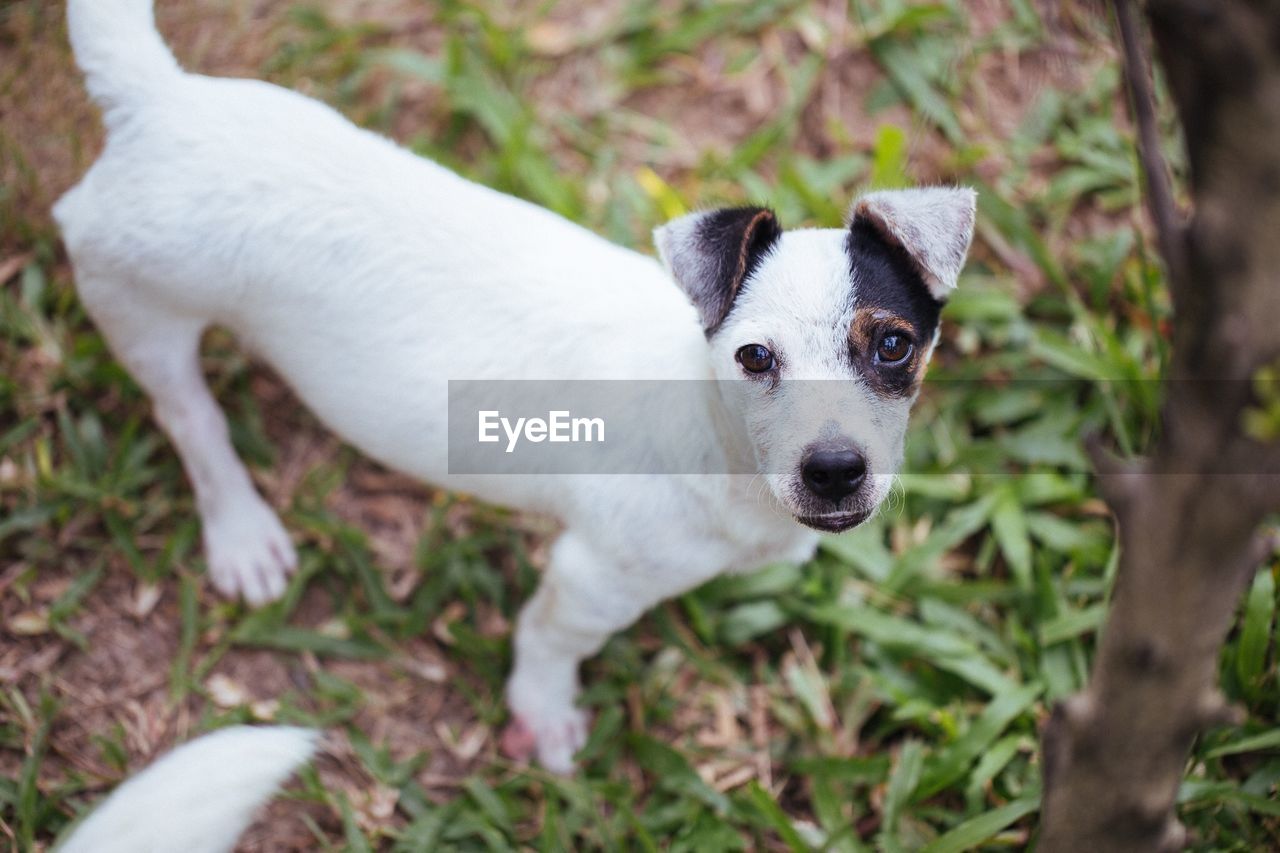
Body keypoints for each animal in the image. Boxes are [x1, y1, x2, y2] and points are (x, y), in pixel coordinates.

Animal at [55, 0, 972, 768]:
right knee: (190, 418)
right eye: (754, 358)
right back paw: (242, 531)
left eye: (893, 345)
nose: (835, 470)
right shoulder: (590, 576)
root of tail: (153, 98)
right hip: (140, 310)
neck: (716, 435)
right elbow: (546, 641)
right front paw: (545, 715)